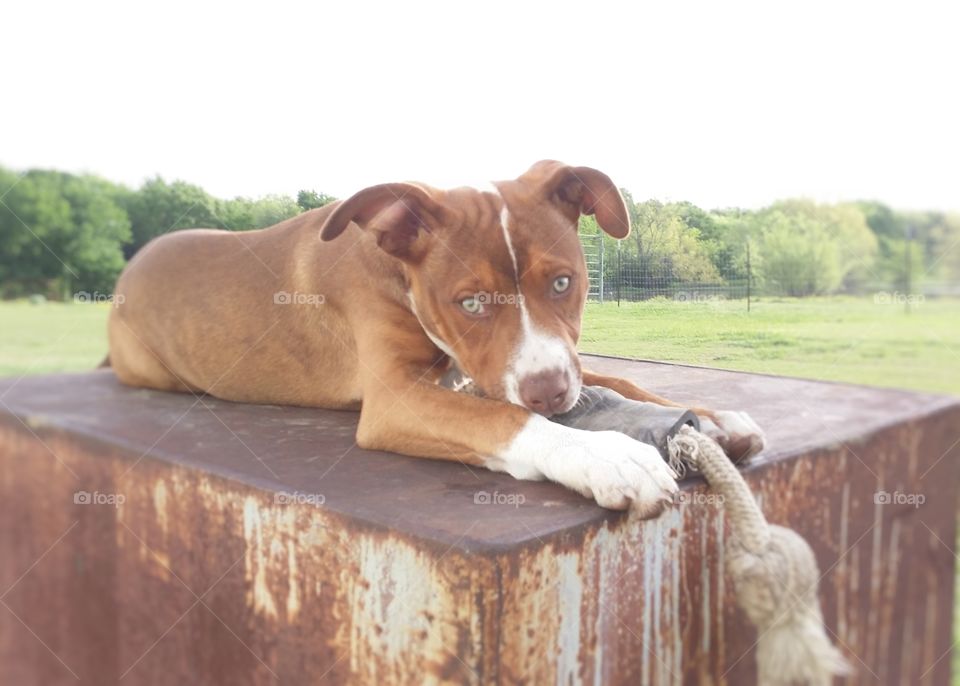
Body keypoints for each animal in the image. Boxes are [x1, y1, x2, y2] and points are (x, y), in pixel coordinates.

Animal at [107, 163, 764, 516]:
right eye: (469, 303)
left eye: (562, 283)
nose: (549, 394)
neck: (395, 269)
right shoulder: (396, 398)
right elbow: (502, 419)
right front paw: (605, 455)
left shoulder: (506, 368)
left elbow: (614, 375)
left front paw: (712, 419)